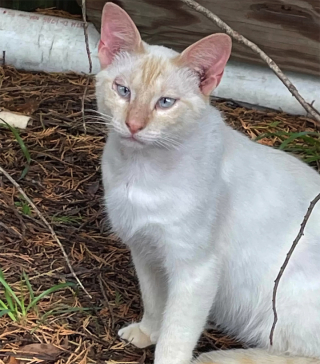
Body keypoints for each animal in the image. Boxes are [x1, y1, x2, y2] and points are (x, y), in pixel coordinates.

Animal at [97, 2, 320, 364]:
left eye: (165, 103)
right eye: (123, 90)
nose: (133, 125)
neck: (141, 170)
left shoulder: (195, 270)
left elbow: (175, 338)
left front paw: (165, 349)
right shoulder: (145, 251)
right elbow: (154, 301)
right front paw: (148, 331)